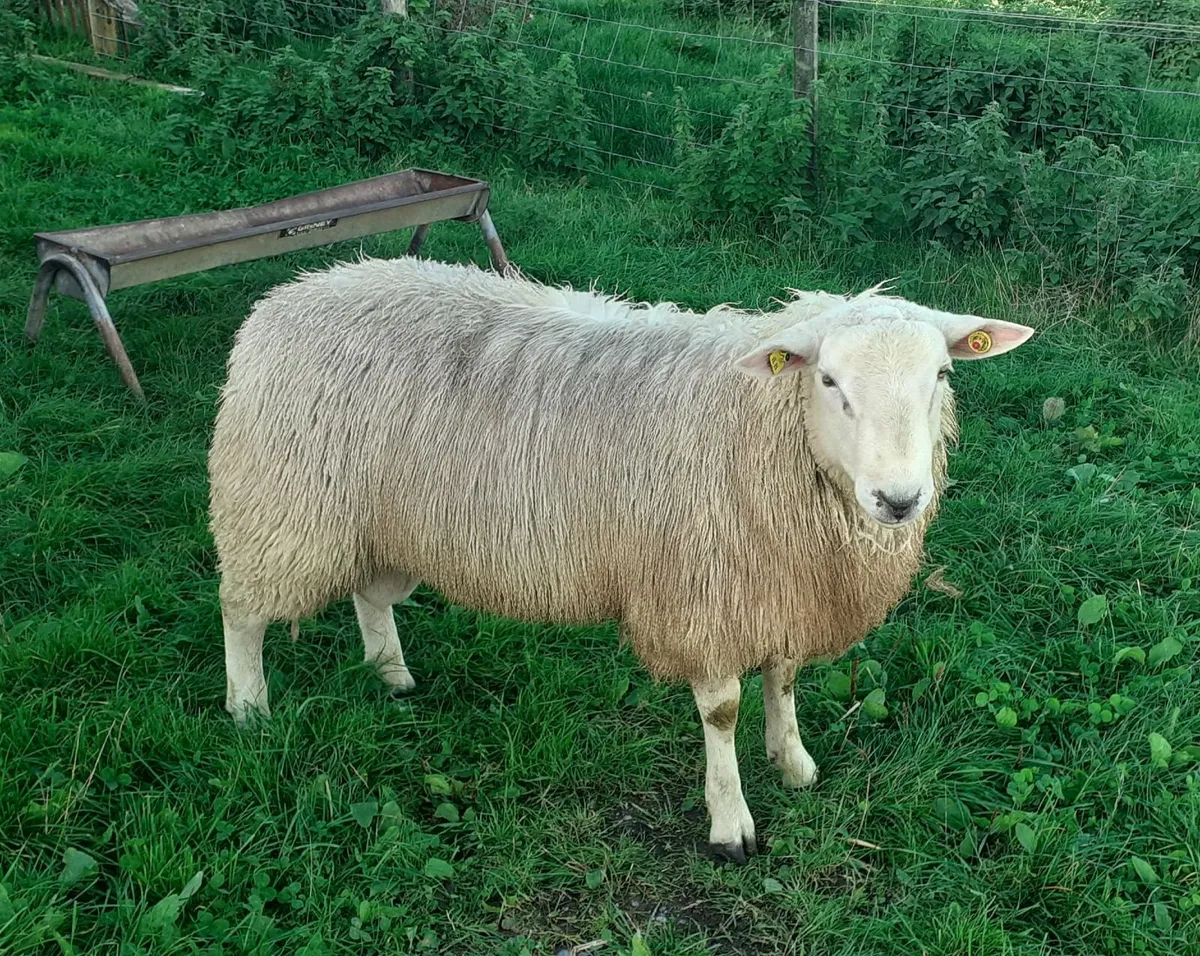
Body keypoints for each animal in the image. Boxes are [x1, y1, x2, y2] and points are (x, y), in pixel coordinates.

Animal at [208, 255, 1034, 862]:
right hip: (282, 508)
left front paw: (793, 763)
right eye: (828, 380)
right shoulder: (706, 590)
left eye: (941, 377)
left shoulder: (776, 583)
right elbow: (723, 711)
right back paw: (249, 708)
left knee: (371, 595)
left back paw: (393, 675)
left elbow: (785, 678)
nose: (899, 499)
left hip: (380, 521)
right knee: (242, 609)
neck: (759, 424)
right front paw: (730, 824)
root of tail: (292, 293)